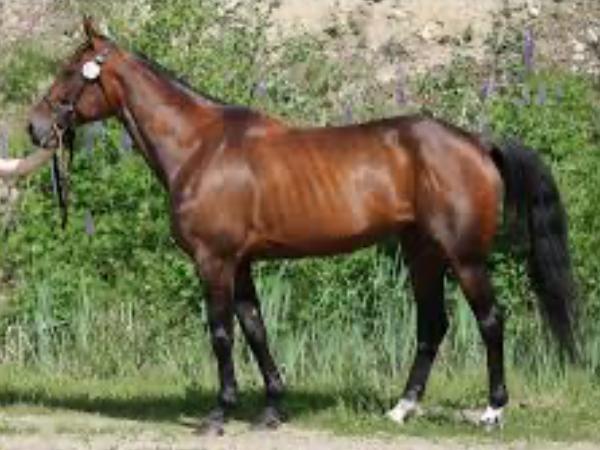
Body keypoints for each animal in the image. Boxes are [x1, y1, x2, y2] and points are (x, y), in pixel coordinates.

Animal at [7, 18, 576, 434]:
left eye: (70, 70)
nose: (35, 127)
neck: (200, 146)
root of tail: (476, 141)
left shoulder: (214, 261)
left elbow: (221, 334)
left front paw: (219, 414)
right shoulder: (240, 264)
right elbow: (255, 329)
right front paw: (271, 409)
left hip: (465, 257)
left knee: (490, 321)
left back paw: (492, 411)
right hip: (422, 254)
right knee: (432, 326)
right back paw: (401, 408)